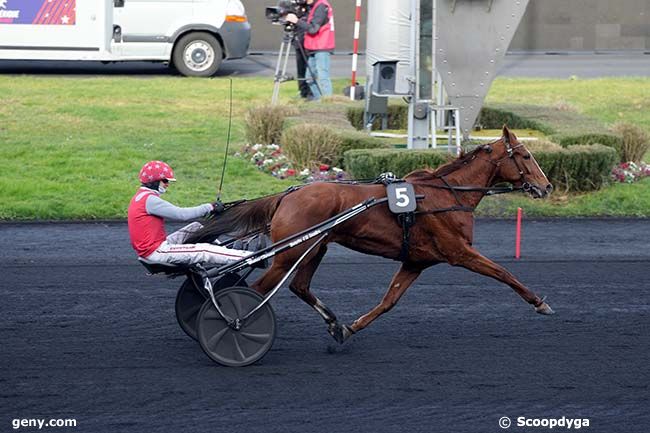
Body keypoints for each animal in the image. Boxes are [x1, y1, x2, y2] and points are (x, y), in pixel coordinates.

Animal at [187, 125, 552, 344]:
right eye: (525, 155)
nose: (546, 187)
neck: (445, 196)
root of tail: (288, 195)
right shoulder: (459, 252)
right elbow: (503, 272)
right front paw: (539, 302)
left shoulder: (416, 262)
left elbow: (388, 301)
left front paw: (350, 328)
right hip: (289, 253)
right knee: (256, 291)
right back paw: (234, 326)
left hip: (314, 248)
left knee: (298, 286)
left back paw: (332, 321)